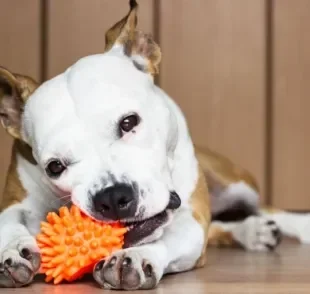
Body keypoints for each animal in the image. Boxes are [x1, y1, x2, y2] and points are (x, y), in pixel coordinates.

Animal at [0, 0, 308, 290]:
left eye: (129, 122)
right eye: (55, 167)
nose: (113, 197)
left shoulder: (191, 220)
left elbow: (168, 240)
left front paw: (136, 257)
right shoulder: (14, 201)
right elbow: (9, 224)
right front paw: (11, 251)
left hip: (236, 185)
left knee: (265, 208)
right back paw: (252, 231)